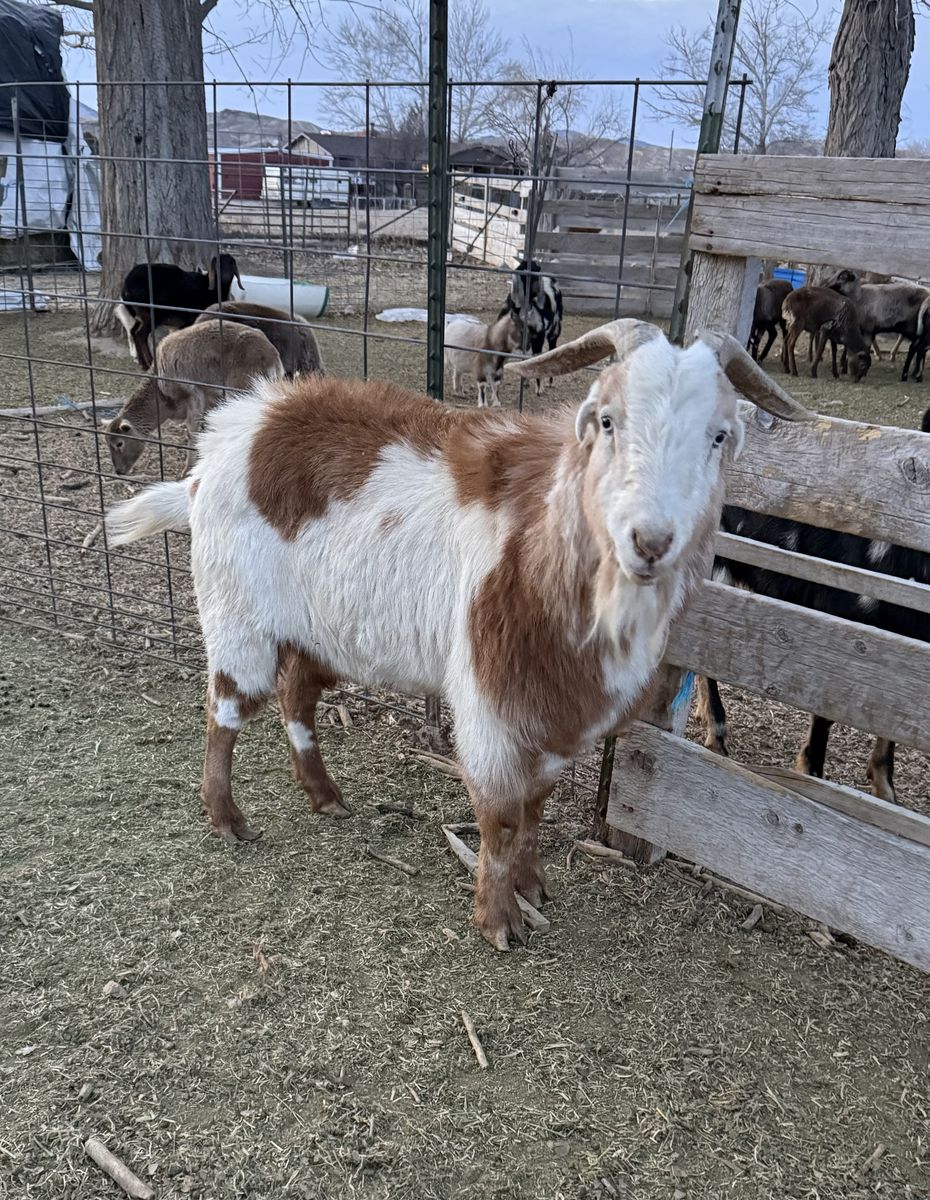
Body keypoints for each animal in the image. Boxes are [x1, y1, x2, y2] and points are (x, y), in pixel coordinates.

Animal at [104, 321, 283, 478]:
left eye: (119, 443)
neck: (161, 397)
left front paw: (188, 471)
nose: (119, 471)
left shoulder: (193, 396)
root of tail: (272, 355)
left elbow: (193, 433)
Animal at [498, 258, 564, 394]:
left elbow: (537, 359)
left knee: (552, 349)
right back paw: (526, 383)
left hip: (555, 330)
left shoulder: (539, 336)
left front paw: (539, 389)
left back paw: (550, 383)